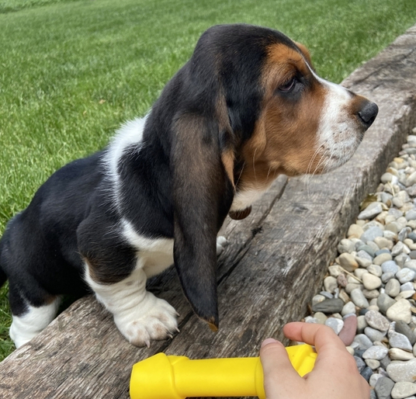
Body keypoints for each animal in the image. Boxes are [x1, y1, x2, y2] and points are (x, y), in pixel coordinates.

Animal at [0, 24, 376, 350]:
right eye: (289, 82)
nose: (371, 111)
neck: (154, 171)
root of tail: (13, 226)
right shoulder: (101, 244)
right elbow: (122, 285)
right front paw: (146, 317)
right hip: (34, 289)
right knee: (24, 323)